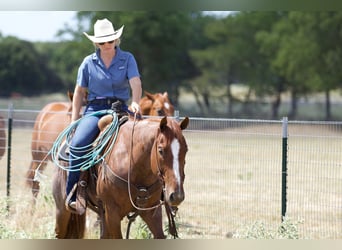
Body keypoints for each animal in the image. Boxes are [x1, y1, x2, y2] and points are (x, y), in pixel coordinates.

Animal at [52, 115, 190, 238]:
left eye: (186, 150)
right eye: (161, 150)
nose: (177, 196)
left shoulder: (151, 212)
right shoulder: (112, 213)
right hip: (62, 211)